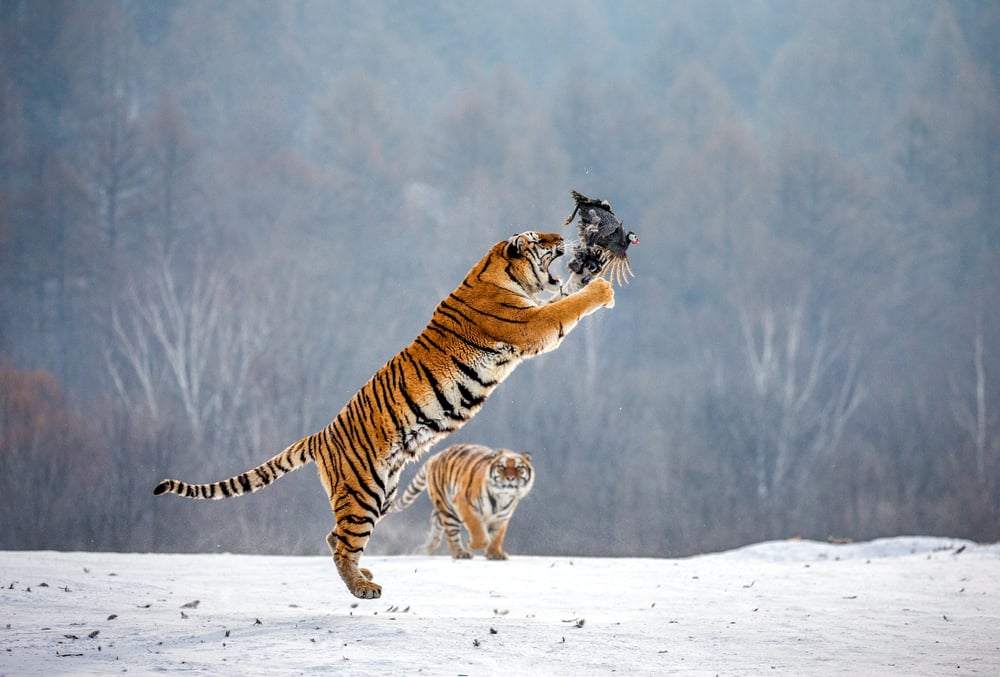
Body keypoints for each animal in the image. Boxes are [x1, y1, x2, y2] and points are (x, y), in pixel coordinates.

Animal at [392, 444, 535, 560]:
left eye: (519, 467)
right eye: (501, 467)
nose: (510, 478)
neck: (502, 497)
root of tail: (435, 456)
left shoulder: (501, 517)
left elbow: (497, 536)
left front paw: (495, 554)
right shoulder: (464, 503)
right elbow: (478, 529)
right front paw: (474, 544)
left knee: (435, 519)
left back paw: (424, 549)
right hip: (449, 510)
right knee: (451, 534)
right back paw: (460, 553)